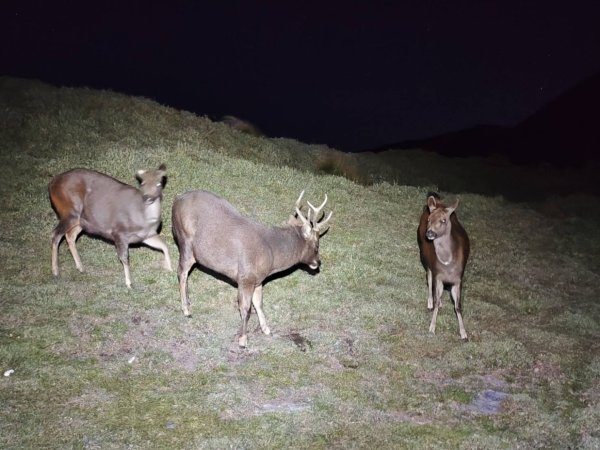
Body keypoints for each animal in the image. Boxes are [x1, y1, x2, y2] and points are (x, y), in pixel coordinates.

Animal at [171, 190, 332, 348]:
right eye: (317, 245)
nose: (318, 262)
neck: (272, 253)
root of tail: (177, 200)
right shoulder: (245, 277)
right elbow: (245, 308)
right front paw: (243, 340)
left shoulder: (258, 280)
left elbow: (259, 303)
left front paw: (266, 329)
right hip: (186, 242)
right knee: (181, 272)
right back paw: (186, 310)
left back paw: (189, 303)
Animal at [418, 193, 468, 342]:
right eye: (429, 219)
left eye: (443, 220)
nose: (429, 233)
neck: (448, 264)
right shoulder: (438, 274)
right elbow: (436, 298)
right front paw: (432, 328)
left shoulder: (458, 279)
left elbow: (458, 306)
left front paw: (464, 333)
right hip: (425, 257)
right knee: (429, 279)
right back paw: (430, 302)